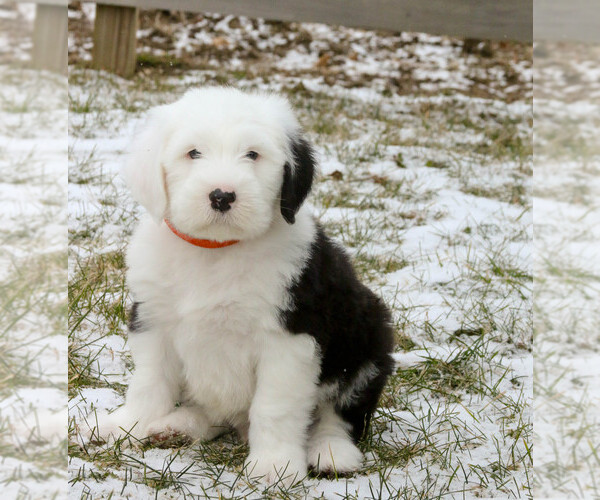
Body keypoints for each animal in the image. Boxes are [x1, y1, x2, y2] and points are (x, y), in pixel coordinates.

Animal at [96, 87, 396, 484]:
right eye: (193, 152)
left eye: (253, 154)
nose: (222, 195)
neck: (216, 250)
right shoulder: (153, 319)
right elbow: (149, 383)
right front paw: (127, 425)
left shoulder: (289, 339)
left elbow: (274, 407)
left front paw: (274, 466)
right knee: (212, 414)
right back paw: (176, 426)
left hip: (369, 340)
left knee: (341, 414)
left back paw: (331, 453)